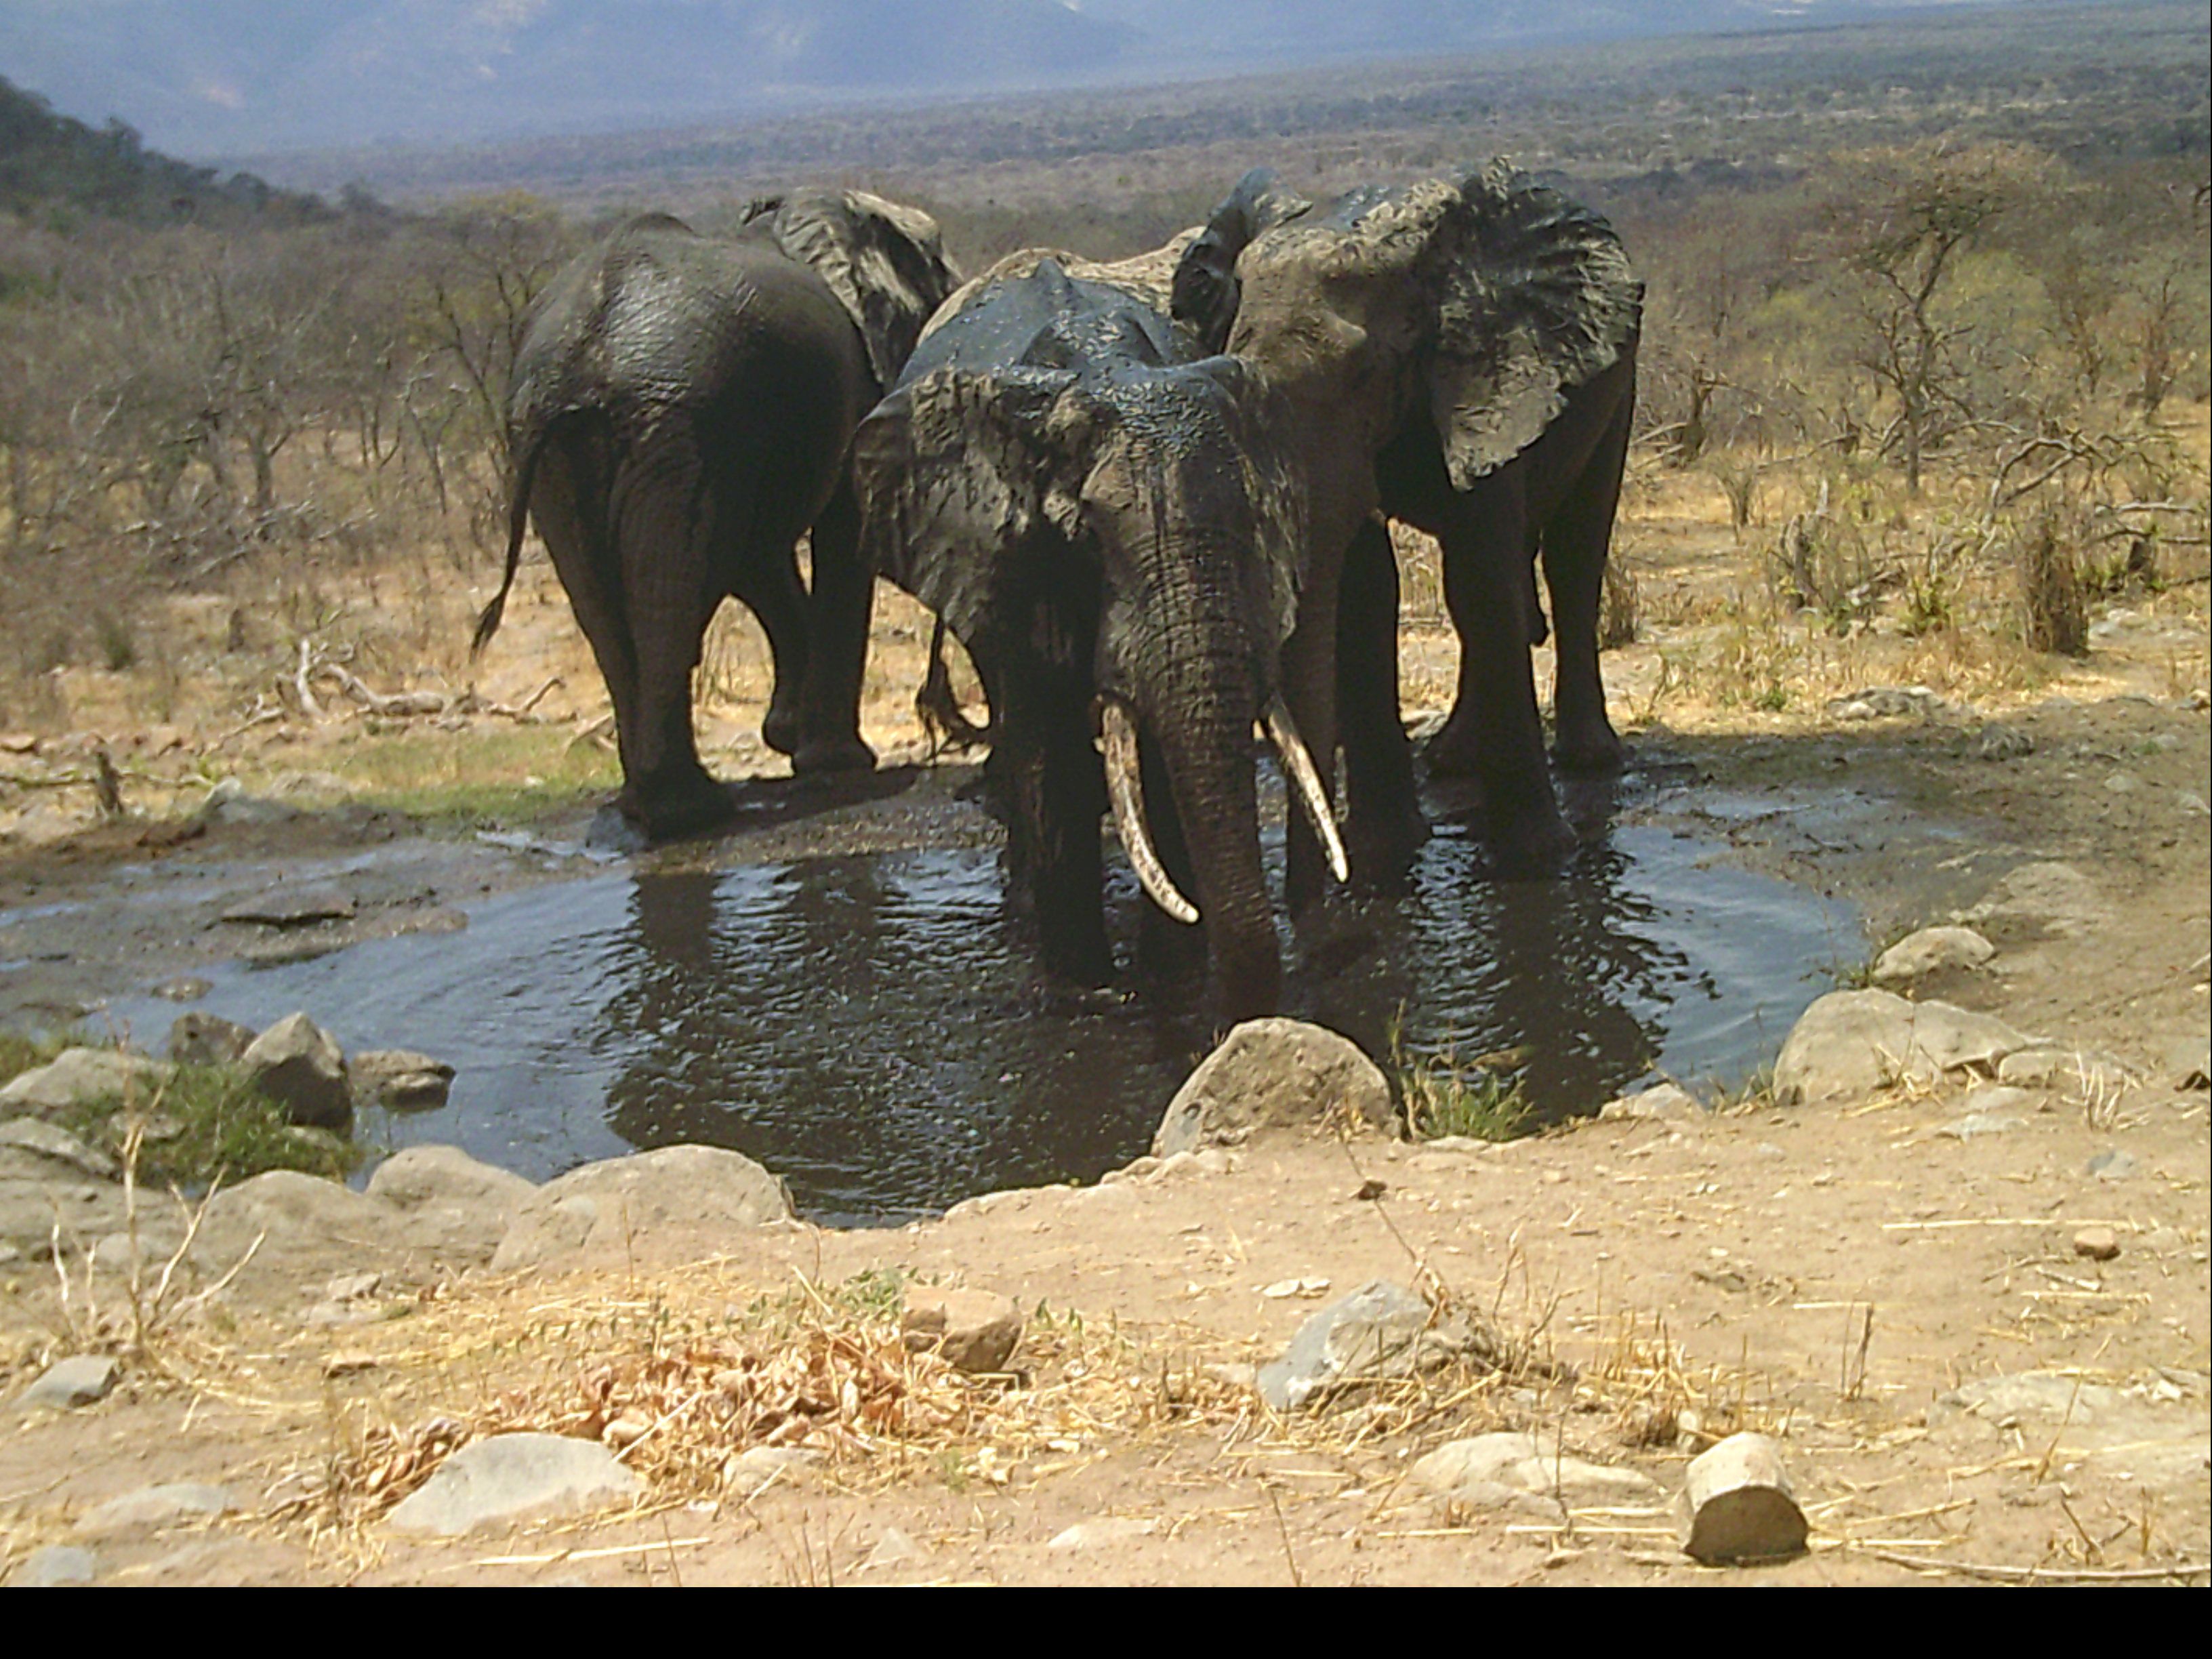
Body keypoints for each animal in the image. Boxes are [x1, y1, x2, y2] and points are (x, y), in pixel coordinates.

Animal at [475, 194, 960, 844]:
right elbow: (831, 536)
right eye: (943, 286)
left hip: (562, 445)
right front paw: (837, 761)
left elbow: (755, 558)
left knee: (608, 602)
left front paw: (789, 738)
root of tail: (576, 359)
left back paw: (652, 806)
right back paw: (690, 810)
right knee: (669, 589)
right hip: (677, 421)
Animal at [844, 240, 1336, 1021]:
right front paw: (1090, 994)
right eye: (1085, 541)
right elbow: (1052, 756)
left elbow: (1162, 762)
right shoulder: (1006, 554)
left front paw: (1172, 978)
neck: (1104, 373)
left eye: (1253, 527)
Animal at [1176, 165, 1645, 898]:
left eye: (1367, 374)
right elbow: (1365, 589)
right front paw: (1382, 857)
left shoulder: (1488, 371)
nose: (1314, 894)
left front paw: (1536, 859)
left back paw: (1587, 760)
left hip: (1616, 372)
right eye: (1235, 368)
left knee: (1575, 551)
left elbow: (1476, 578)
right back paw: (1453, 762)